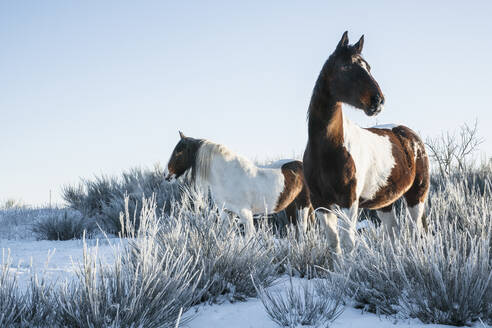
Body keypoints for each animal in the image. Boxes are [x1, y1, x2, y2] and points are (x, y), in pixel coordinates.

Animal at [165, 132, 312, 237]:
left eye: (179, 151)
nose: (167, 175)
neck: (227, 175)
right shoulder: (226, 213)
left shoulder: (245, 213)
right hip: (290, 206)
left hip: (303, 205)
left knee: (302, 228)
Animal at [304, 32, 430, 254]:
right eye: (346, 67)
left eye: (368, 67)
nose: (378, 101)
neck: (326, 149)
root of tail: (412, 137)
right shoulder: (321, 204)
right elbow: (334, 244)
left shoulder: (349, 201)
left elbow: (348, 243)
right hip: (385, 204)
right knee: (393, 233)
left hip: (416, 197)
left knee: (418, 232)